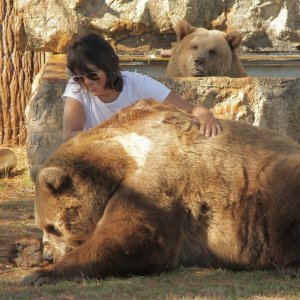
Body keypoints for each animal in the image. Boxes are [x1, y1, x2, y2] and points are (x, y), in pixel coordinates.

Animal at [22, 99, 300, 286]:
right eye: (43, 226)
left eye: (52, 227)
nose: (48, 255)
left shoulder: (155, 182)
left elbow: (136, 238)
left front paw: (39, 275)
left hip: (266, 186)